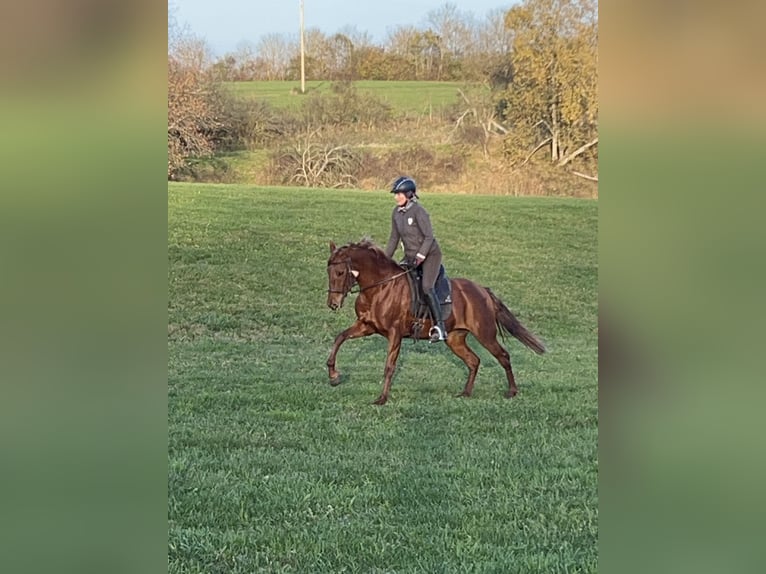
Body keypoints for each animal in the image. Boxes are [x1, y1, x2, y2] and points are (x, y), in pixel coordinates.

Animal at [324, 241, 544, 408]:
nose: (333, 304)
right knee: (473, 361)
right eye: (329, 271)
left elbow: (389, 366)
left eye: (340, 272)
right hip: (455, 339)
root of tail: (483, 290)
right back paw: (465, 393)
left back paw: (512, 391)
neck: (380, 288)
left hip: (485, 334)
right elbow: (340, 338)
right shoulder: (366, 326)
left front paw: (382, 398)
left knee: (503, 356)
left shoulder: (394, 333)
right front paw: (334, 375)